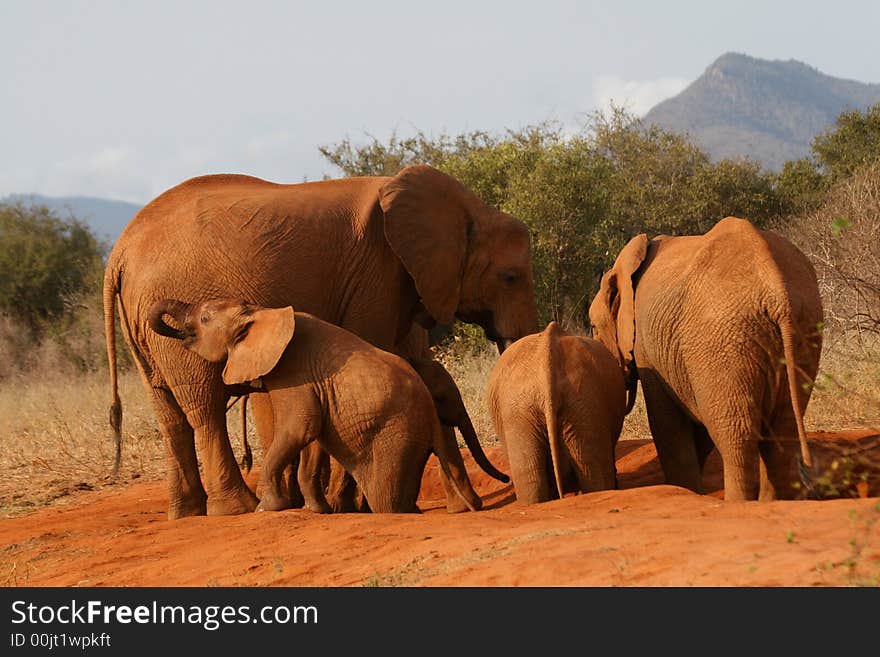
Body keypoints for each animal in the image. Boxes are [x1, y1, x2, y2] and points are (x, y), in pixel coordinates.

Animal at [148, 298, 484, 512]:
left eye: (204, 319)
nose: (179, 332)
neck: (259, 312)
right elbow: (313, 438)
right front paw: (316, 510)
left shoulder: (292, 371)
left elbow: (301, 428)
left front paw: (268, 508)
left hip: (396, 437)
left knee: (388, 498)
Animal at [588, 215, 820, 498]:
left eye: (594, 328)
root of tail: (776, 291)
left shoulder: (647, 345)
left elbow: (666, 421)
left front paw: (684, 490)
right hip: (802, 331)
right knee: (781, 435)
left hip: (723, 342)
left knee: (736, 440)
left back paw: (736, 502)